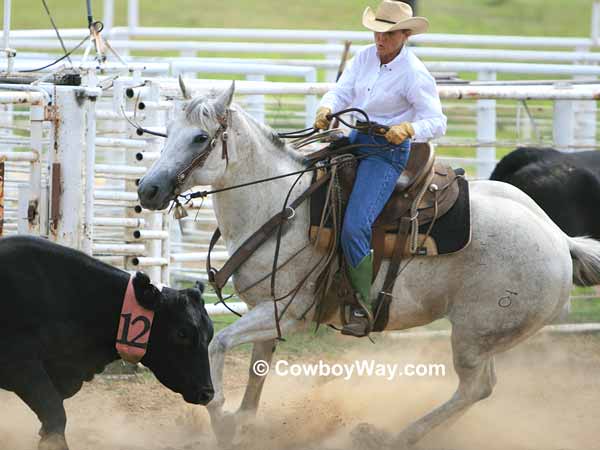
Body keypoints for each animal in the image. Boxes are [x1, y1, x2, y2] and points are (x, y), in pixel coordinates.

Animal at [138, 80, 600, 446]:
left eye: (200, 138)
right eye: (170, 131)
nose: (148, 189)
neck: (279, 206)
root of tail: (559, 240)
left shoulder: (290, 312)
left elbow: (217, 346)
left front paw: (219, 420)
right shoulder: (268, 311)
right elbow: (257, 372)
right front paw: (243, 427)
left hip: (474, 334)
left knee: (476, 388)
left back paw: (391, 436)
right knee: (477, 389)